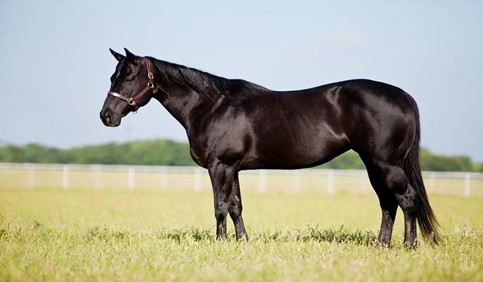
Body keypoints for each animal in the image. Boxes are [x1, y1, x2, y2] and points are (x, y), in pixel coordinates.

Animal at [100, 49, 440, 247]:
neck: (211, 105)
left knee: (406, 199)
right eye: (112, 75)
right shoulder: (233, 168)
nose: (107, 116)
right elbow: (236, 205)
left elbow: (219, 205)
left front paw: (220, 243)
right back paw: (382, 244)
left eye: (129, 77)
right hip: (373, 164)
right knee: (388, 202)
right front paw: (242, 243)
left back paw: (409, 246)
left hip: (387, 164)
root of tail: (403, 96)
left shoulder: (219, 165)